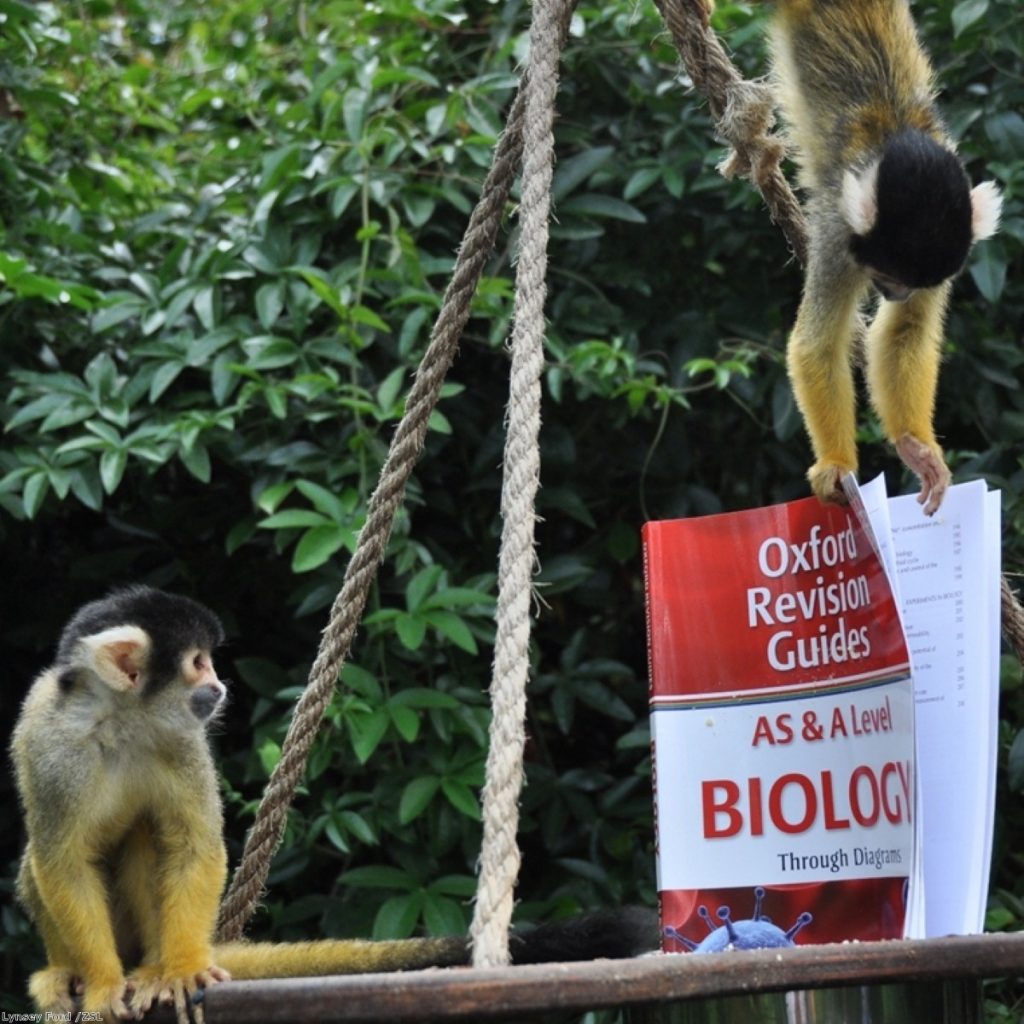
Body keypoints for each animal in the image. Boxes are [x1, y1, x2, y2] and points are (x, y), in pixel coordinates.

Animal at [9, 589, 655, 1019]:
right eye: (197, 662)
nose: (218, 686)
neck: (125, 722)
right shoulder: (53, 744)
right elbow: (61, 859)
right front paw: (99, 984)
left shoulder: (183, 741)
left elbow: (193, 846)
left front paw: (185, 968)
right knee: (41, 859)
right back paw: (68, 972)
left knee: (151, 834)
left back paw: (154, 968)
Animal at [712, 0, 999, 512]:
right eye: (885, 271)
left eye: (912, 283)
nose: (897, 292)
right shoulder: (837, 234)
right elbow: (817, 343)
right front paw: (837, 464)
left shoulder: (950, 254)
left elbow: (905, 333)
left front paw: (916, 447)